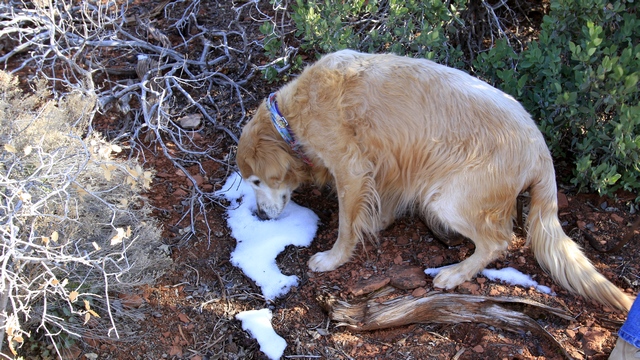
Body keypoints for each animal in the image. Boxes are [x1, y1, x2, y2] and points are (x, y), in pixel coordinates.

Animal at [238, 50, 632, 312]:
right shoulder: (389, 161)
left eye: (256, 181)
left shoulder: (350, 168)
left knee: (497, 241)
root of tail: (540, 147)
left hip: (447, 199)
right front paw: (376, 221)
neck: (289, 119)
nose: (260, 216)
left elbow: (347, 226)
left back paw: (454, 274)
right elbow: (378, 204)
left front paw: (333, 258)